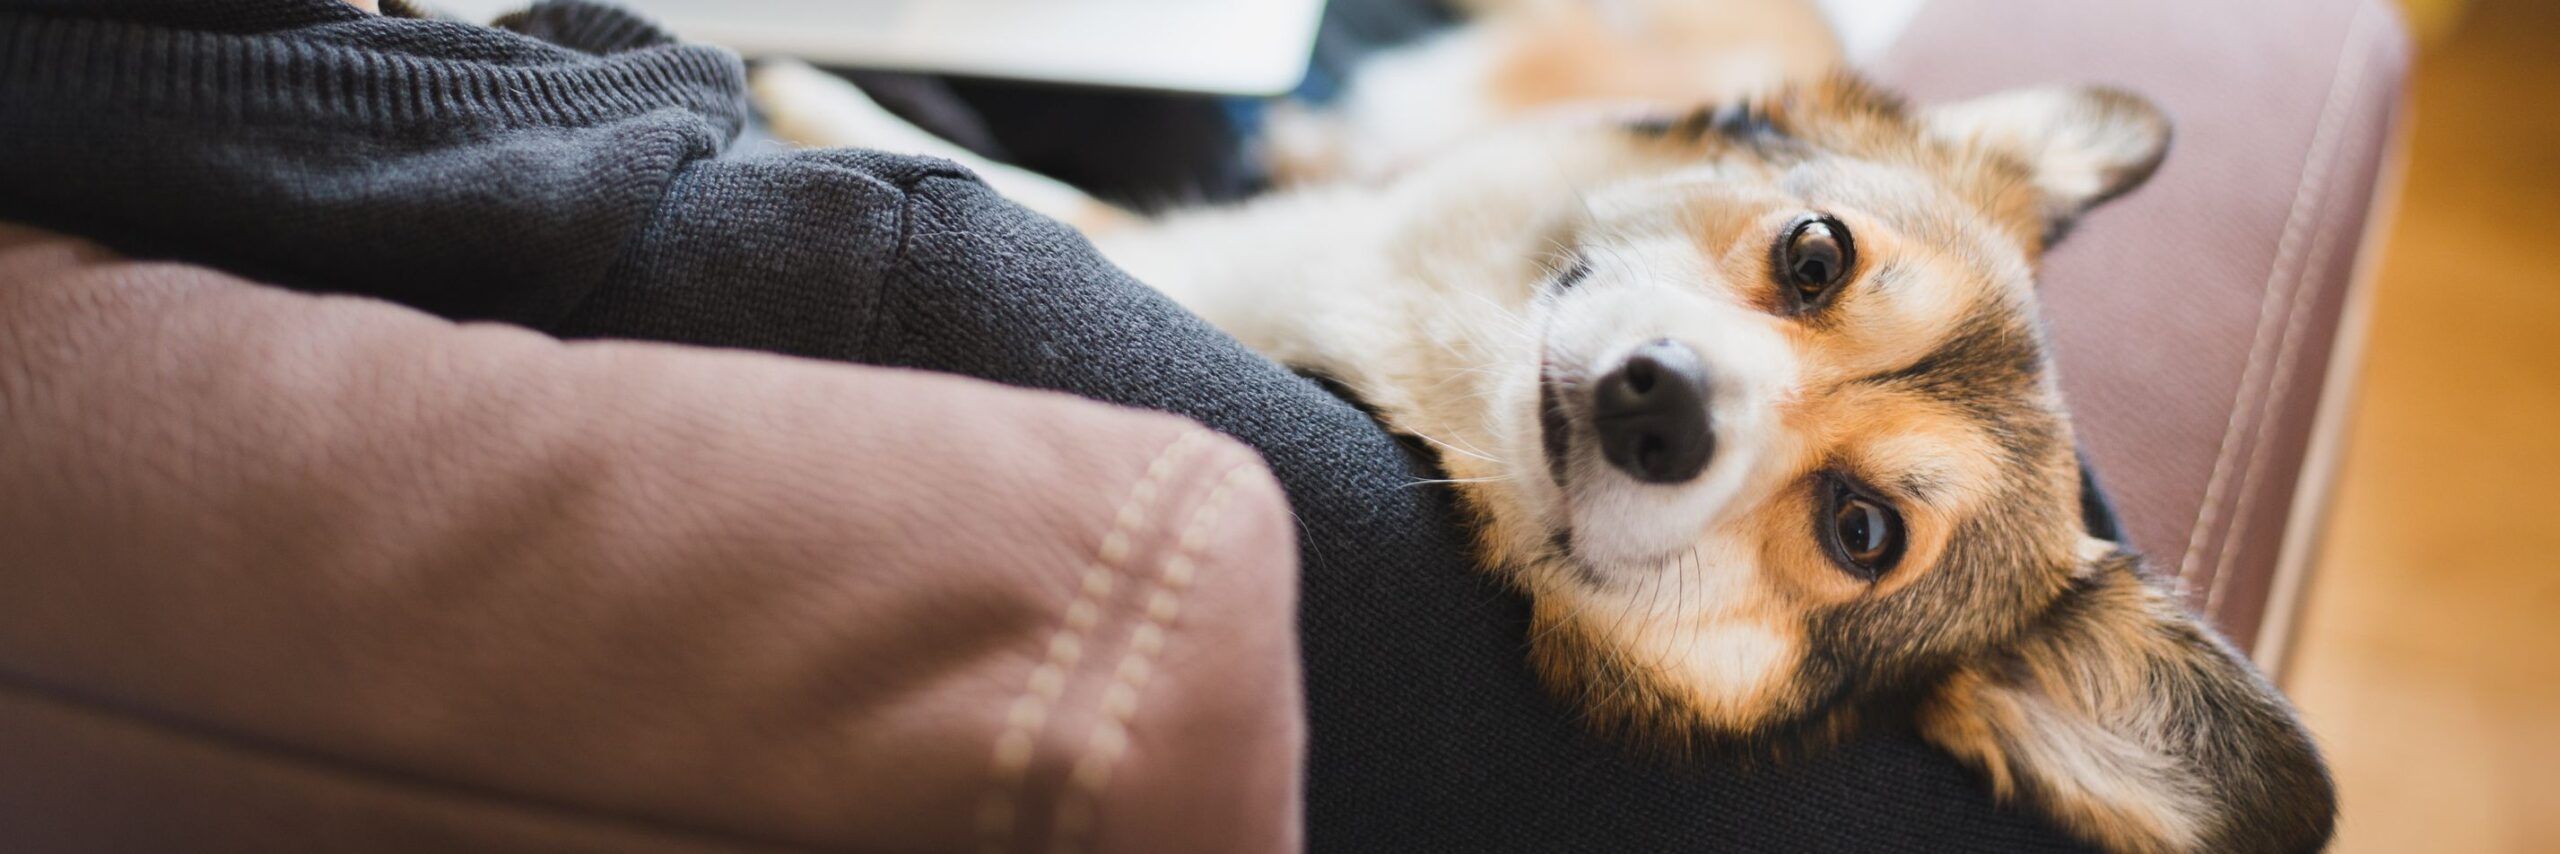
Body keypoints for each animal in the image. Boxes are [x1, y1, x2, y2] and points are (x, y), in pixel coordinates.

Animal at [747, 4, 2344, 848]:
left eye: (1861, 528)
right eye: (1814, 253)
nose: (1662, 402)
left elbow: (1054, 206)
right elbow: (1025, 174)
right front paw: (818, 84)